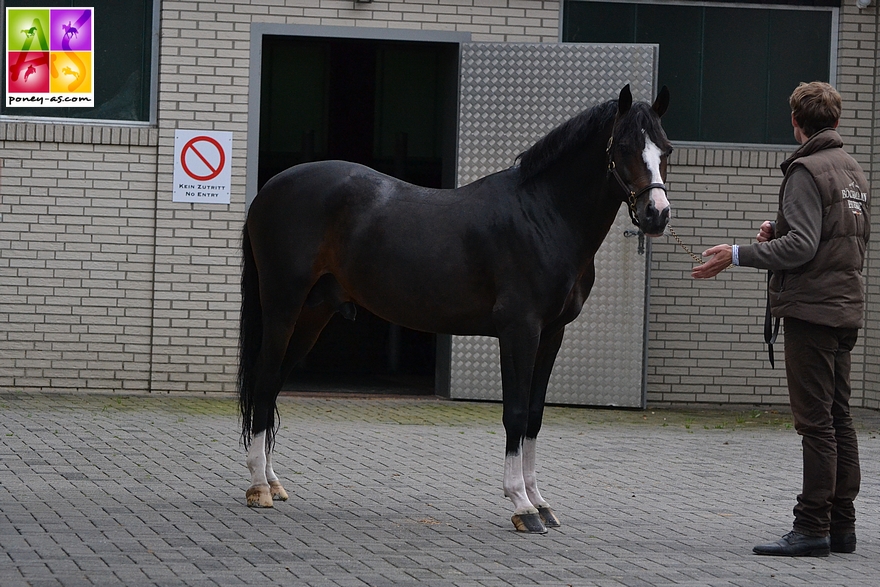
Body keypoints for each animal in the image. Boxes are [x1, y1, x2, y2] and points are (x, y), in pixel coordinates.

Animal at [237, 85, 672, 536]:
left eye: (666, 149)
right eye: (623, 147)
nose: (657, 215)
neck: (542, 215)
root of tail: (270, 188)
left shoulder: (552, 333)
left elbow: (534, 416)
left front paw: (540, 501)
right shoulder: (520, 330)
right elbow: (515, 414)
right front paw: (522, 505)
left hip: (311, 316)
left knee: (273, 386)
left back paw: (273, 481)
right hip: (283, 306)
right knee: (264, 380)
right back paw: (259, 487)